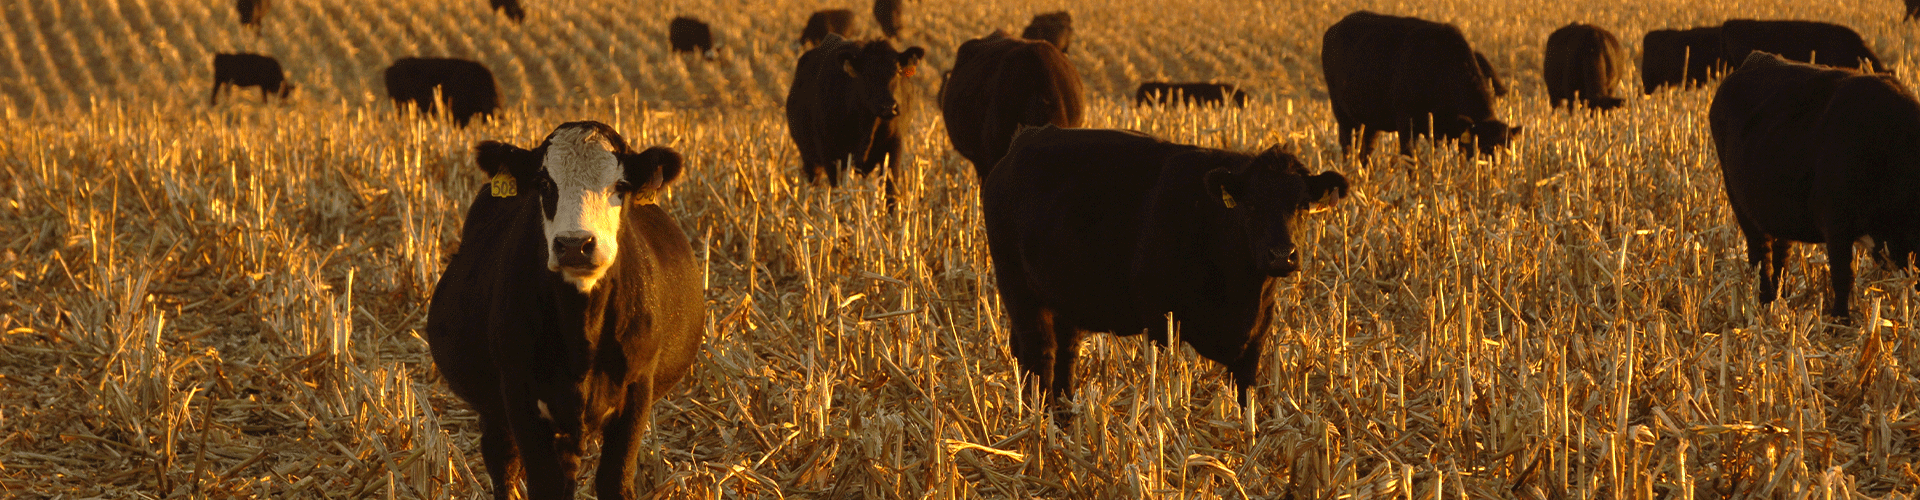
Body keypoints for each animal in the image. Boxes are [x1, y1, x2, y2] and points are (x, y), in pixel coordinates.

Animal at [426, 121, 704, 500]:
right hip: (496, 411)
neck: (580, 335)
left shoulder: (638, 390)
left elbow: (615, 480)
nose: (575, 244)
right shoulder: (518, 393)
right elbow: (544, 483)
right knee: (502, 461)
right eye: (544, 184)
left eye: (621, 186)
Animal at [785, 34, 924, 187]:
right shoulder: (831, 155)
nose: (888, 107)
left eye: (899, 71)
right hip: (809, 157)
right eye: (867, 74)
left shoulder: (894, 148)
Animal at [982, 125, 1348, 415]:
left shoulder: (1255, 338)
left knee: (1065, 357)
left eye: (1303, 205)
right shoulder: (1160, 320)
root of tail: (1027, 137)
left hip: (1066, 300)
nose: (1282, 256)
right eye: (1253, 205)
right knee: (1039, 355)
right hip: (1019, 290)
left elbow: (1246, 400)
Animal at [1321, 11, 1520, 161]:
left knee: (1365, 150)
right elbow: (1410, 159)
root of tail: (1333, 29)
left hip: (1371, 121)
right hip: (1343, 114)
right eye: (1481, 150)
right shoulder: (1406, 122)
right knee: (1348, 147)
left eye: (1508, 155)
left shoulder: (1443, 132)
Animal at [1709, 52, 1920, 320]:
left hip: (1779, 214)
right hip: (1741, 205)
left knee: (1781, 256)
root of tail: (1756, 58)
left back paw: (1780, 298)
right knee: (1760, 257)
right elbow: (1843, 277)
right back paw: (1765, 301)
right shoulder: (1836, 226)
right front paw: (1840, 320)